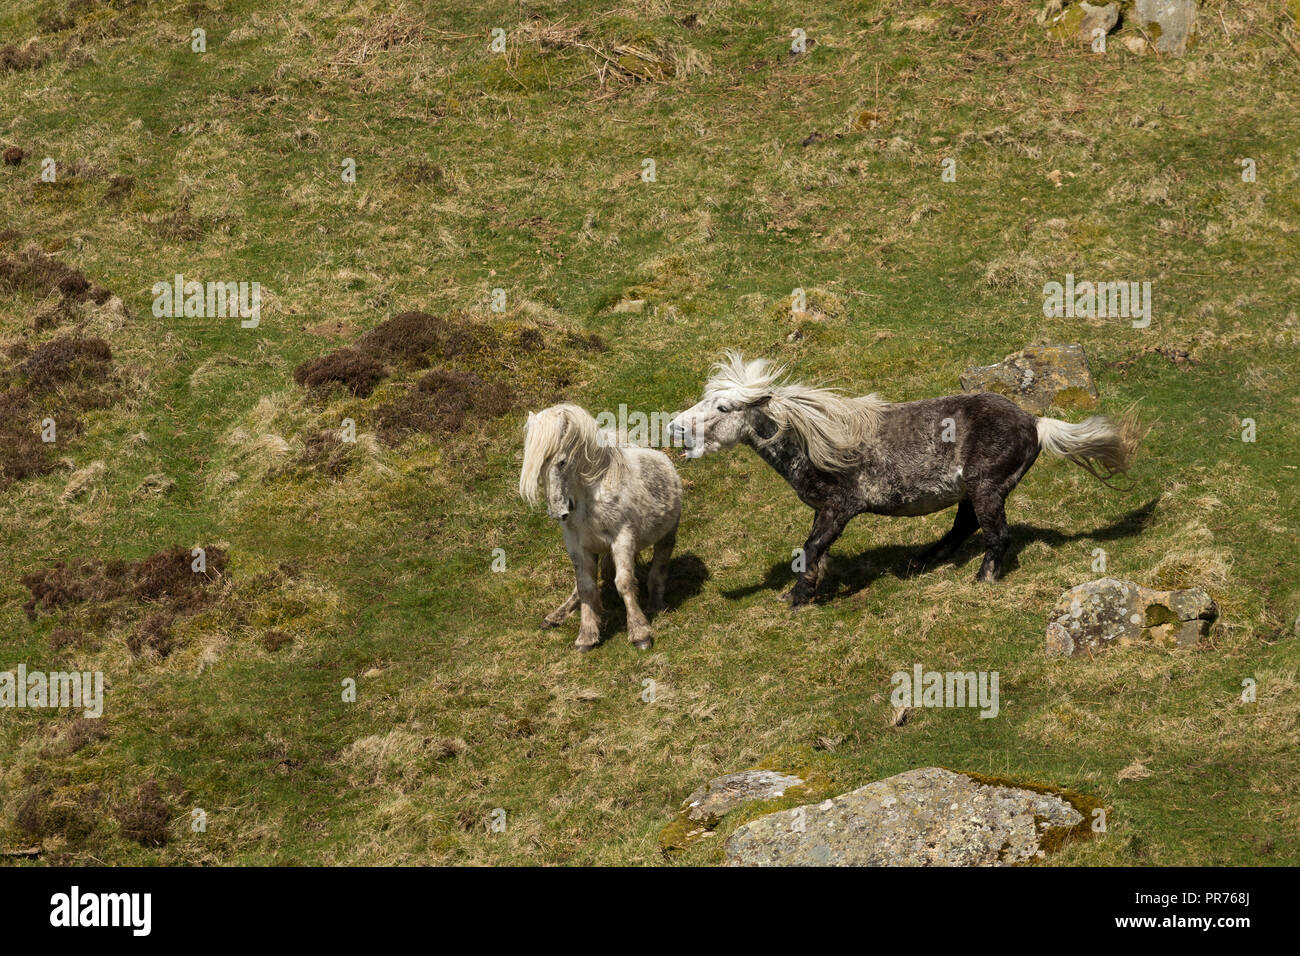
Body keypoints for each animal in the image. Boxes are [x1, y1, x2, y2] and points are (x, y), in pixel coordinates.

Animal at [520, 403, 682, 650]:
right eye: (538, 467)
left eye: (562, 462)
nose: (558, 512)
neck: (591, 498)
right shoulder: (578, 548)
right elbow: (586, 587)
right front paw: (586, 636)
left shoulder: (622, 538)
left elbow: (624, 583)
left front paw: (640, 633)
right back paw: (555, 617)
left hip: (666, 536)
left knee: (659, 568)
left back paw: (655, 603)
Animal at [666, 351, 1144, 607]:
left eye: (723, 408)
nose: (673, 427)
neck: (816, 442)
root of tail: (1035, 422)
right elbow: (814, 550)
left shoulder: (839, 507)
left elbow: (812, 547)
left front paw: (799, 598)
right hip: (971, 490)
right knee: (964, 527)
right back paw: (919, 563)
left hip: (987, 487)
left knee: (996, 535)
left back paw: (982, 580)